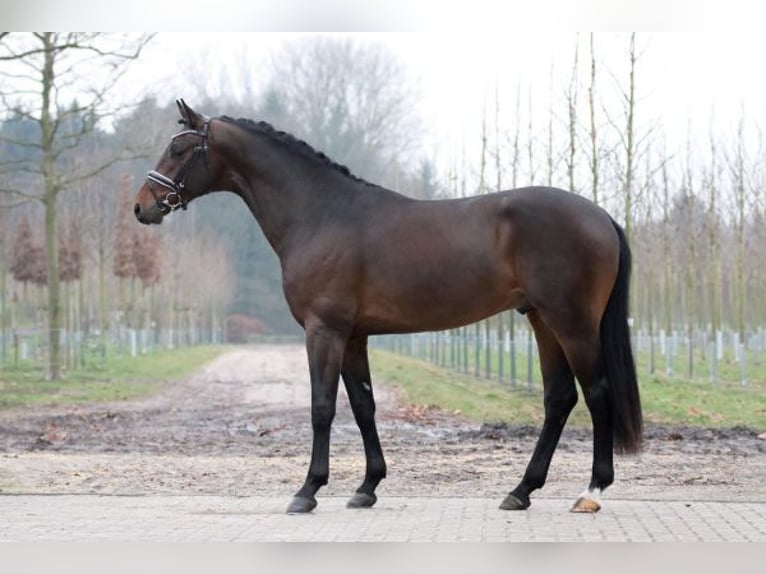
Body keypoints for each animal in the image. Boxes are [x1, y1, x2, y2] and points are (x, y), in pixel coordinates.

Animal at [134, 99, 640, 516]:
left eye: (178, 149)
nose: (143, 207)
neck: (321, 214)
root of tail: (600, 215)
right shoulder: (354, 336)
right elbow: (363, 406)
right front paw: (366, 487)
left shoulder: (324, 331)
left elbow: (322, 407)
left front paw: (307, 491)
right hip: (541, 320)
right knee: (560, 398)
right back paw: (521, 491)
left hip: (571, 323)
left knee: (596, 394)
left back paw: (591, 491)